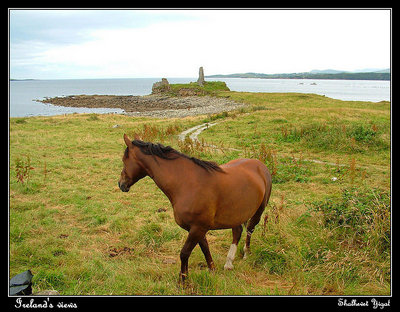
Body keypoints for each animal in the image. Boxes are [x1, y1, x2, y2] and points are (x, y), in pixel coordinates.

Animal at [119, 134, 272, 282]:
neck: (186, 183)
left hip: (258, 211)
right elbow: (205, 248)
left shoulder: (198, 228)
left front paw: (183, 280)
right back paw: (229, 263)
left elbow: (184, 253)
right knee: (237, 231)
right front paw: (211, 270)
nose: (121, 184)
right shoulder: (196, 229)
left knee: (250, 229)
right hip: (235, 214)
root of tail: (260, 165)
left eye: (124, 160)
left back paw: (246, 253)